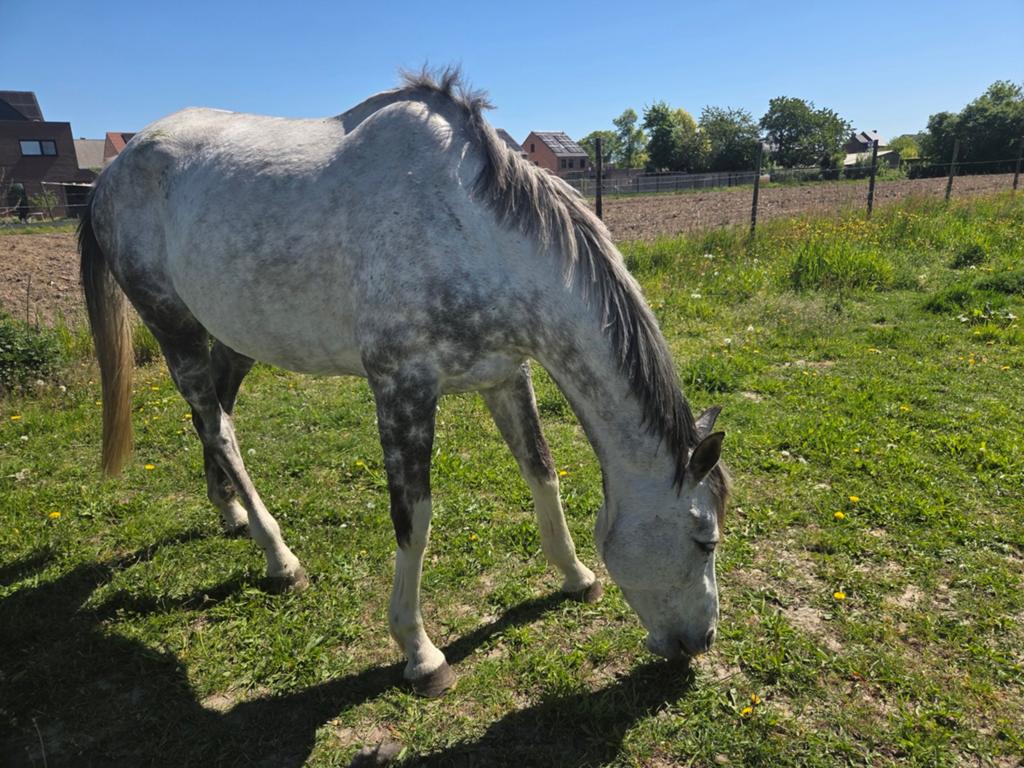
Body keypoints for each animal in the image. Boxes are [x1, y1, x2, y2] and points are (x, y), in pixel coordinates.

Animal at [78, 68, 730, 697]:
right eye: (706, 540)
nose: (700, 641)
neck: (472, 231)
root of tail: (115, 168)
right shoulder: (401, 389)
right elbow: (413, 520)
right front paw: (421, 654)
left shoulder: (505, 375)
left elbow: (542, 473)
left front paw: (576, 576)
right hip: (172, 325)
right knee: (218, 426)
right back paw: (281, 558)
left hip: (234, 335)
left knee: (215, 413)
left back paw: (230, 512)